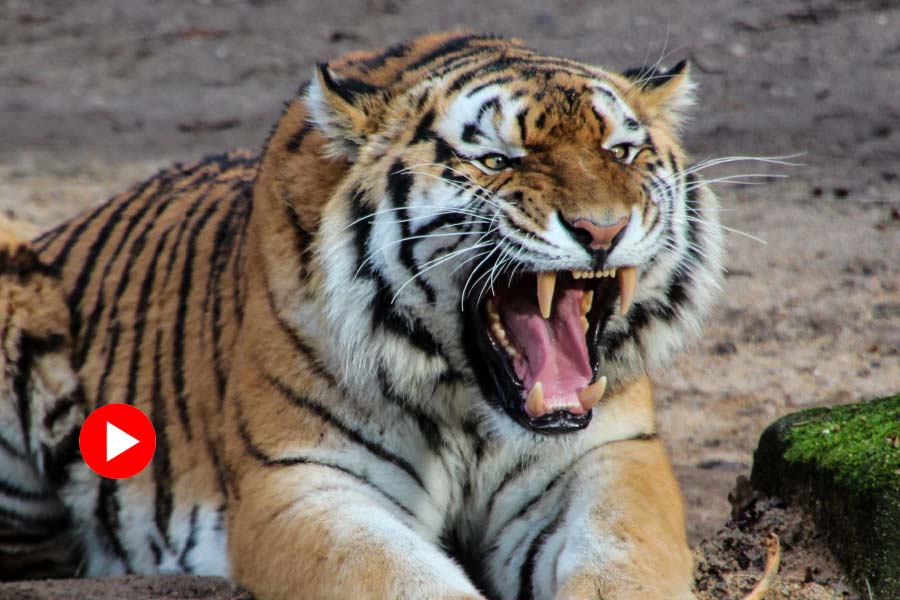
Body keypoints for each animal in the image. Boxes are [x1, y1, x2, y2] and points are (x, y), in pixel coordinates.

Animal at [0, 32, 720, 600]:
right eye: (496, 161)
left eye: (620, 152)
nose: (602, 229)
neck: (471, 407)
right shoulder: (304, 481)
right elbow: (399, 577)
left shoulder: (608, 456)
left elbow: (625, 562)